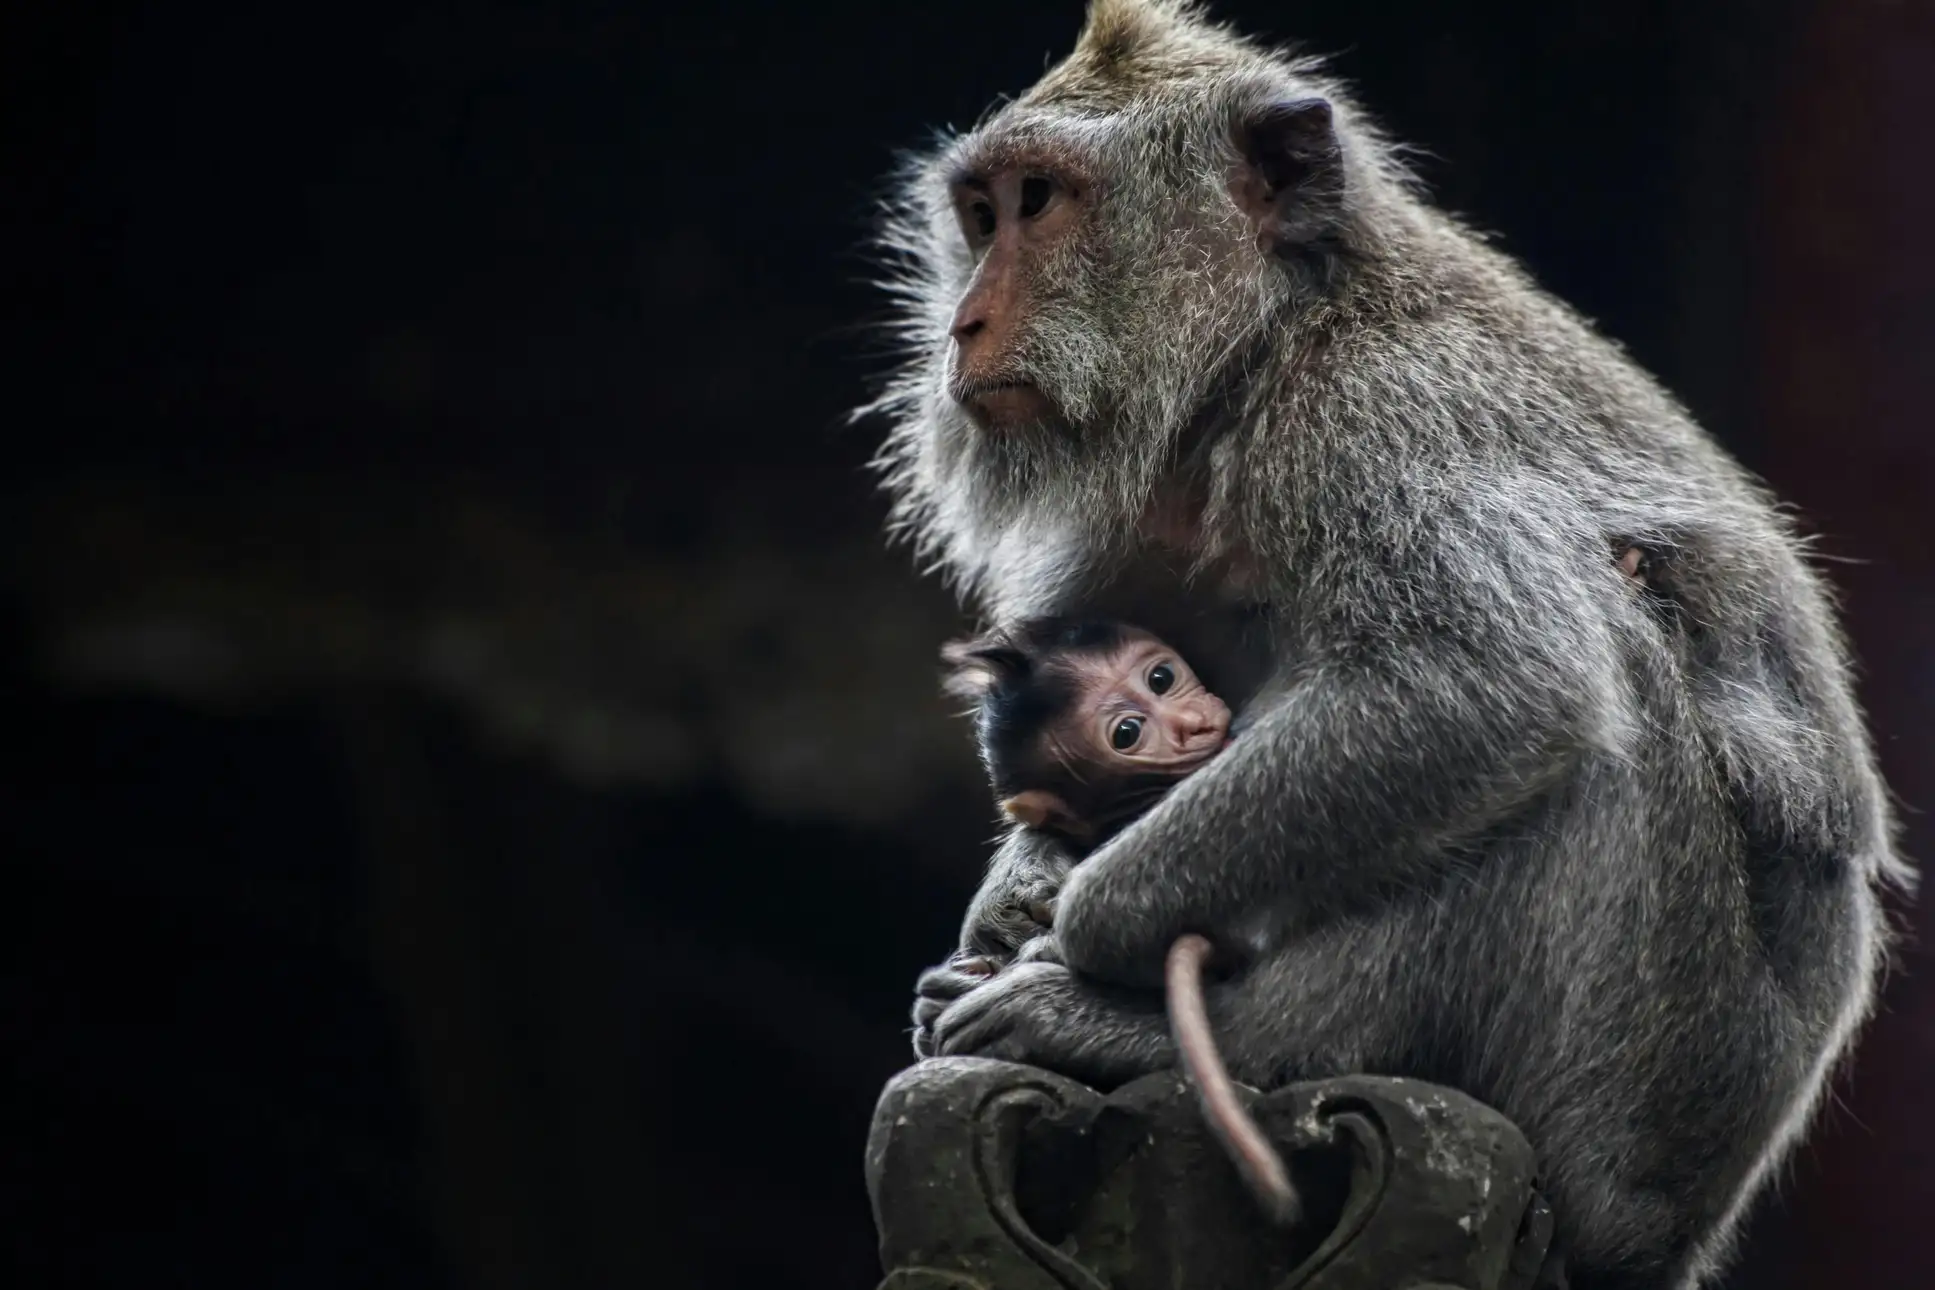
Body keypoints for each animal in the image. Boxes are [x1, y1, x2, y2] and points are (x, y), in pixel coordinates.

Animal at [859, 4, 1910, 1287]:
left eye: (1041, 202)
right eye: (981, 213)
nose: (965, 323)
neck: (1271, 342)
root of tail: (1684, 1226)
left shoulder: (1377, 412)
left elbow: (1491, 687)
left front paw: (1079, 928)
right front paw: (1014, 895)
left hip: (1642, 1091)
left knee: (1601, 696)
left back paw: (1193, 1036)